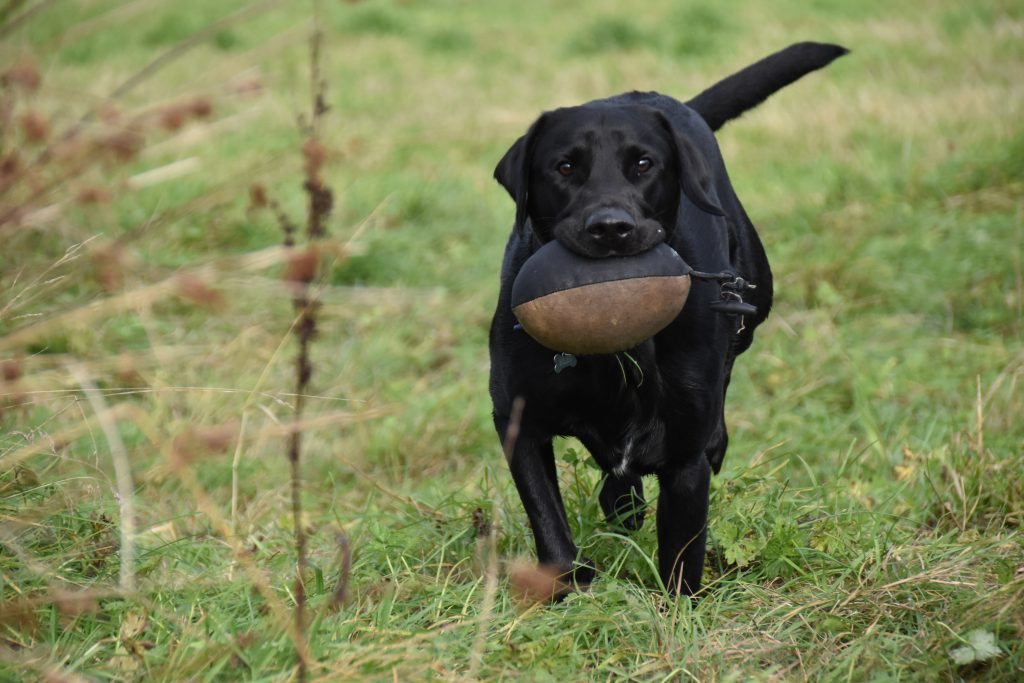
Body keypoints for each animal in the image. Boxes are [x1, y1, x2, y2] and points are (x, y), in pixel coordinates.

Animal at [491, 44, 843, 598]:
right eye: (565, 167)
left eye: (643, 164)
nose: (611, 228)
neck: (616, 357)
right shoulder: (516, 418)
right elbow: (549, 524)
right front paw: (572, 589)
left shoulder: (684, 457)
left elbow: (682, 551)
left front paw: (679, 612)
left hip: (751, 302)